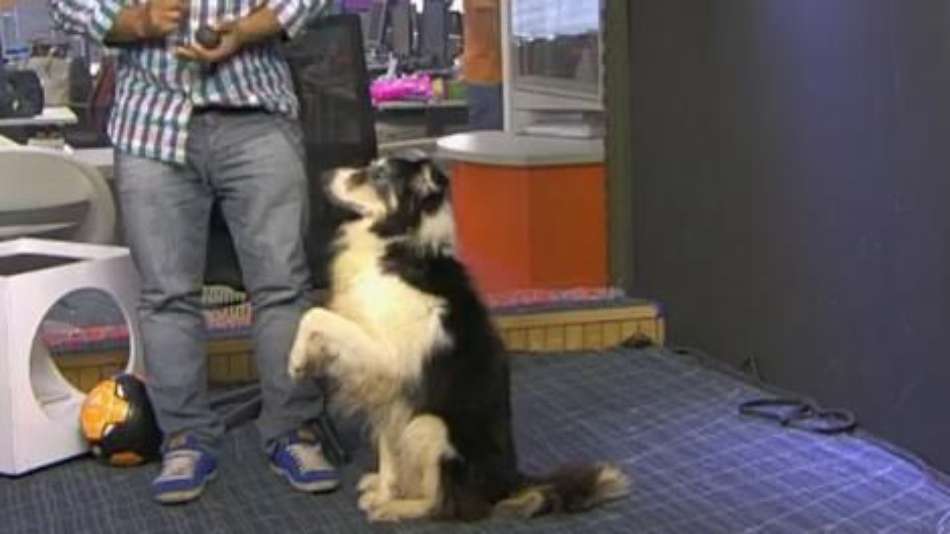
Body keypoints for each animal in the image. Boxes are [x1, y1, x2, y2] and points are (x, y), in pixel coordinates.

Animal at [288, 156, 629, 522]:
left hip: (430, 427)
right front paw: (384, 487)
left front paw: (296, 362)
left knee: (444, 504)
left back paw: (397, 508)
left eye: (378, 175)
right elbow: (388, 450)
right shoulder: (388, 388)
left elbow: (316, 315)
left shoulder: (387, 356)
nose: (323, 175)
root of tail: (509, 482)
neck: (398, 243)